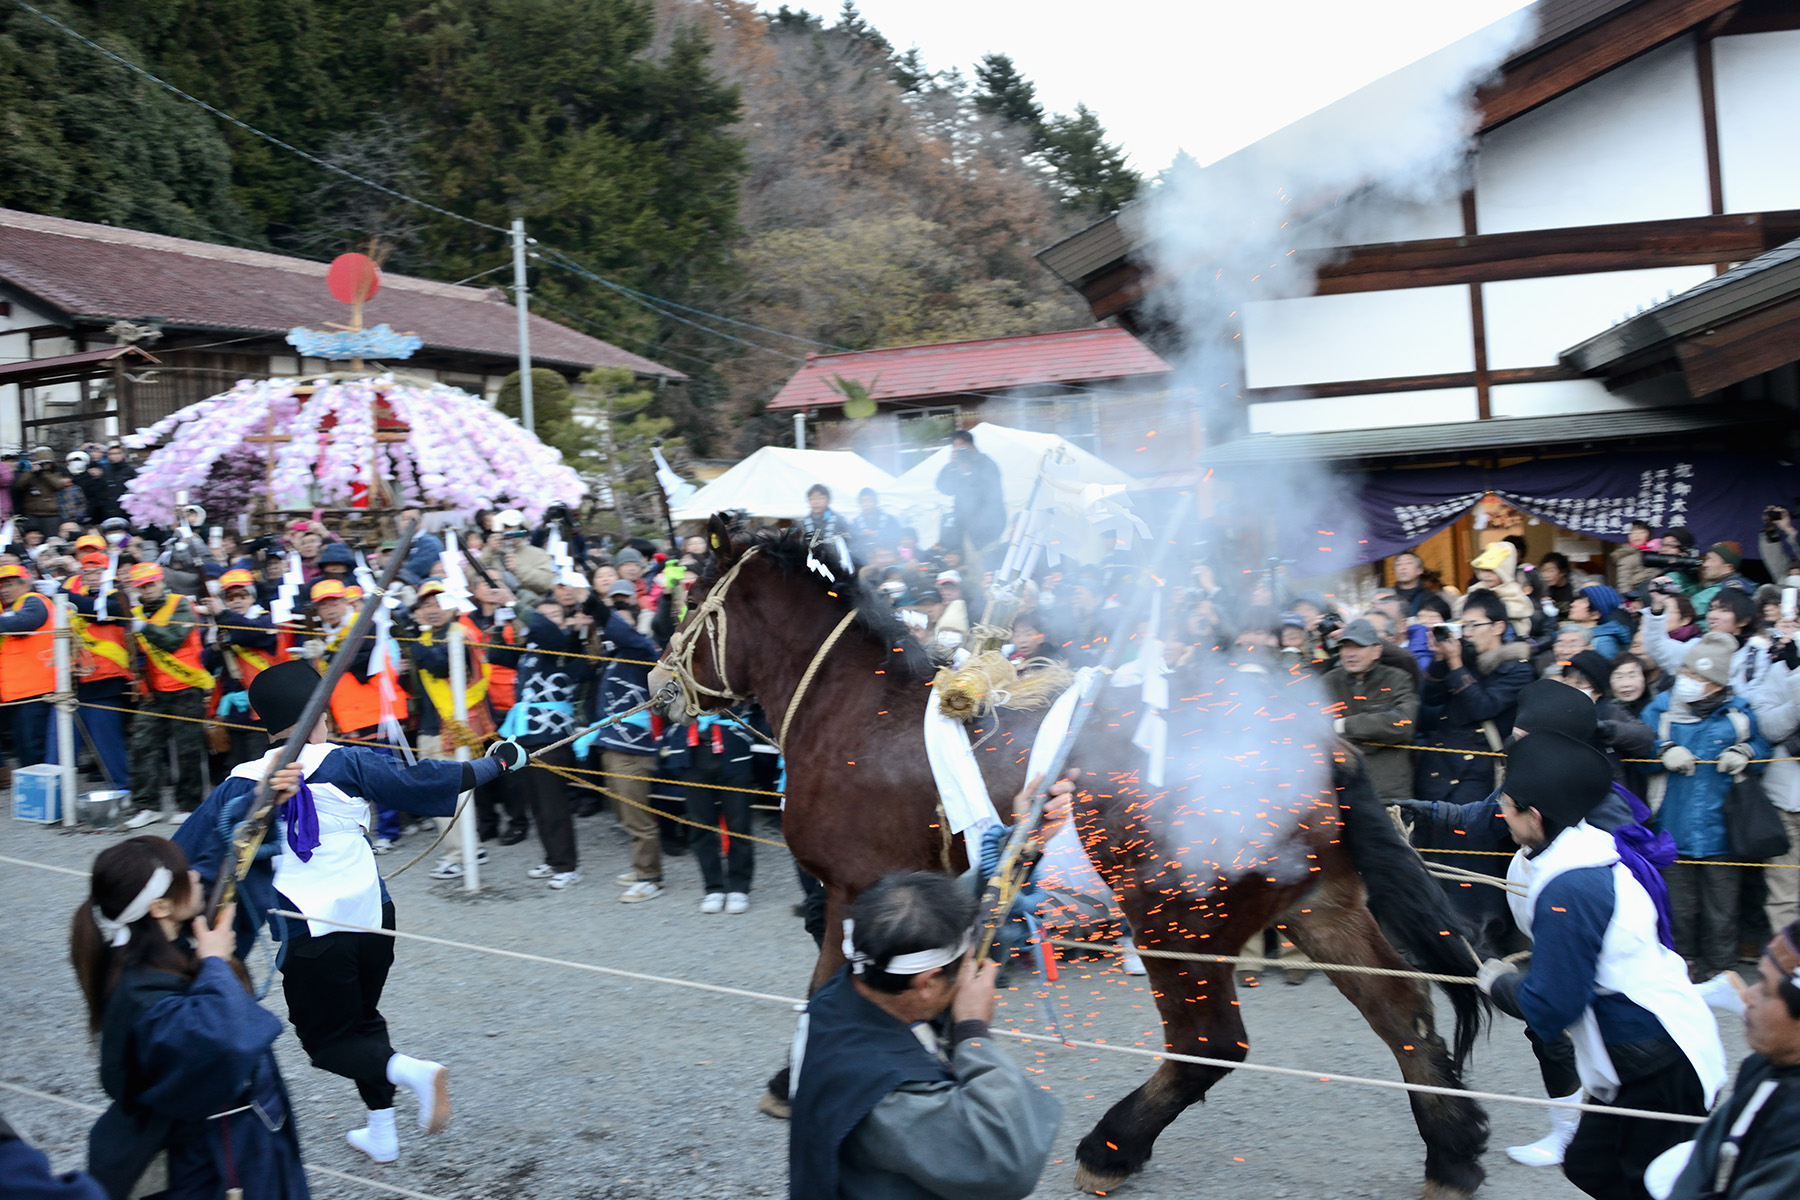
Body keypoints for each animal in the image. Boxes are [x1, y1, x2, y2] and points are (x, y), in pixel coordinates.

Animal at [658, 518, 1490, 1200]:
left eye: (692, 595)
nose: (660, 684)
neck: (855, 717)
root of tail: (1319, 750)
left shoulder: (852, 889)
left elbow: (827, 989)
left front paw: (792, 1080)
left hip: (1178, 927)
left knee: (1209, 1045)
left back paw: (1111, 1147)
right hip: (1321, 908)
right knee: (1404, 1013)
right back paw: (1453, 1152)